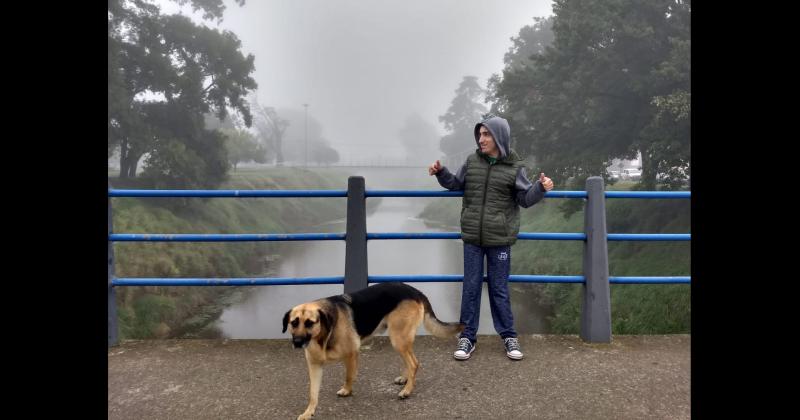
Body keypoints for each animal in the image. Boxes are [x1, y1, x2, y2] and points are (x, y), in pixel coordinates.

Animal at [282, 282, 466, 420]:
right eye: (294, 323)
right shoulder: (314, 366)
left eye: (310, 323)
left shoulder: (351, 354)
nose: (297, 343)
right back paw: (405, 379)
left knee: (414, 363)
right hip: (400, 339)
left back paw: (407, 391)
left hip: (398, 338)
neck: (322, 334)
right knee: (409, 360)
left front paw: (347, 390)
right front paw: (308, 412)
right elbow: (312, 393)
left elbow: (349, 376)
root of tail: (416, 291)